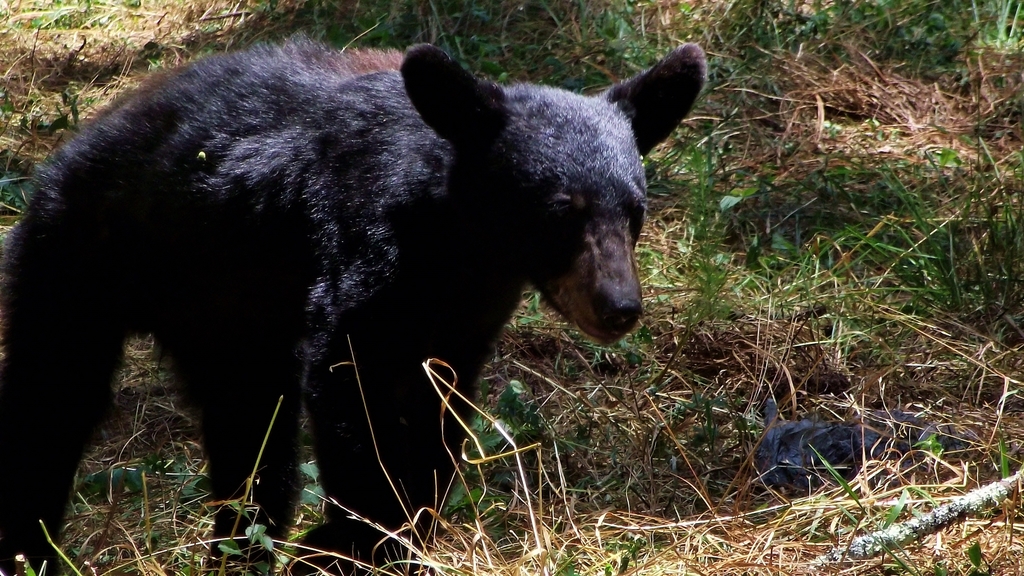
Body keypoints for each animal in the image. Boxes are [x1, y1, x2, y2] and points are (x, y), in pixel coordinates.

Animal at [0, 40, 706, 573]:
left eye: (634, 212)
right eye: (561, 213)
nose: (619, 307)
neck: (459, 244)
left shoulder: (466, 317)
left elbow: (440, 414)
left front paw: (390, 534)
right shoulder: (364, 248)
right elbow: (349, 381)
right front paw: (352, 540)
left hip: (227, 320)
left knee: (249, 434)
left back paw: (242, 550)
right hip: (79, 256)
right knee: (51, 404)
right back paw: (30, 549)